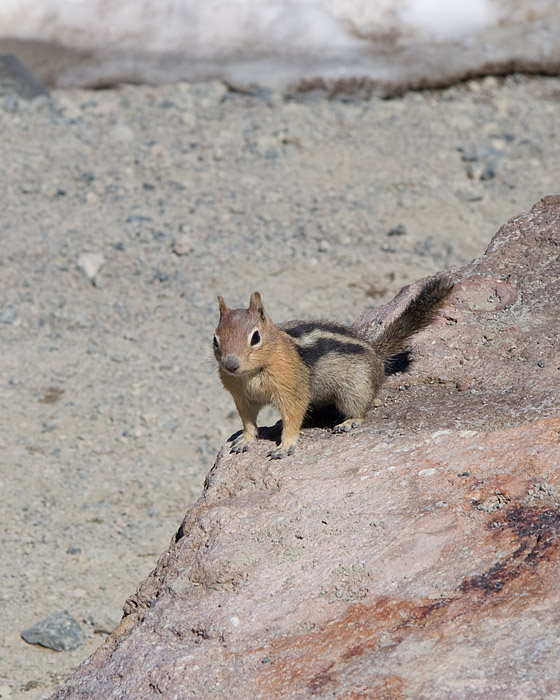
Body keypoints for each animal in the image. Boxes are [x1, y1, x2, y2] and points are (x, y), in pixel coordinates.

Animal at [214, 276, 456, 462]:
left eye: (255, 337)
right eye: (215, 339)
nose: (231, 365)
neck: (251, 375)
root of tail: (375, 354)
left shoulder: (292, 393)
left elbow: (293, 417)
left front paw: (285, 446)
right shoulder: (242, 398)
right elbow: (248, 421)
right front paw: (245, 440)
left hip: (355, 389)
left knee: (361, 411)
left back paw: (349, 422)